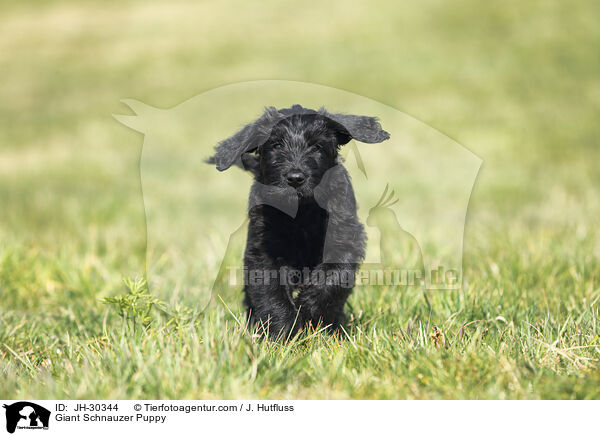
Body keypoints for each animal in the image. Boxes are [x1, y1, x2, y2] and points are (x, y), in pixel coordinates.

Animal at [209, 104, 392, 338]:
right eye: (277, 145)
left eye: (316, 147)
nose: (295, 178)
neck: (302, 213)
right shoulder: (263, 250)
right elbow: (271, 292)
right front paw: (283, 332)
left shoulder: (345, 240)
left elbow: (332, 278)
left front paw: (309, 312)